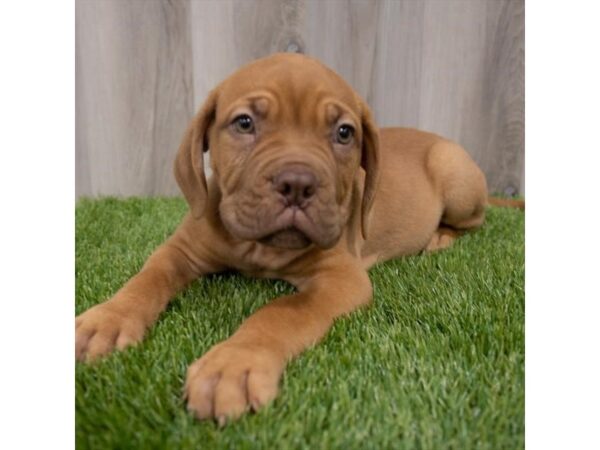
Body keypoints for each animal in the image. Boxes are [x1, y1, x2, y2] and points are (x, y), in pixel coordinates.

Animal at [76, 53, 496, 426]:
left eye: (344, 133)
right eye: (244, 123)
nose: (297, 183)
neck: (259, 246)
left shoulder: (341, 278)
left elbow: (281, 312)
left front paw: (234, 364)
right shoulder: (180, 250)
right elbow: (147, 278)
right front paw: (107, 319)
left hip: (456, 178)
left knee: (477, 219)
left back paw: (441, 237)